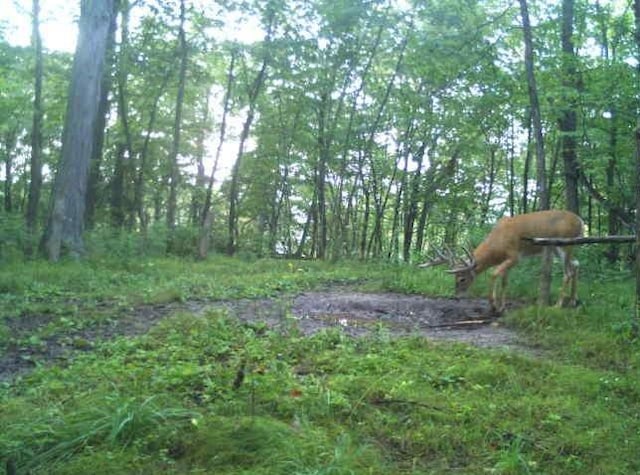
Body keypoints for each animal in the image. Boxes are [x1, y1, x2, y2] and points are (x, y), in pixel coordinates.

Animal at [420, 210, 584, 314]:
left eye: (462, 279)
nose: (456, 297)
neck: (496, 245)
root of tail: (581, 221)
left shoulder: (514, 256)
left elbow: (494, 274)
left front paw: (493, 306)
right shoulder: (508, 260)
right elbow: (505, 282)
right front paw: (502, 307)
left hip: (565, 243)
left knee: (568, 272)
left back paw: (557, 305)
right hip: (557, 247)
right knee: (576, 264)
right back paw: (573, 300)